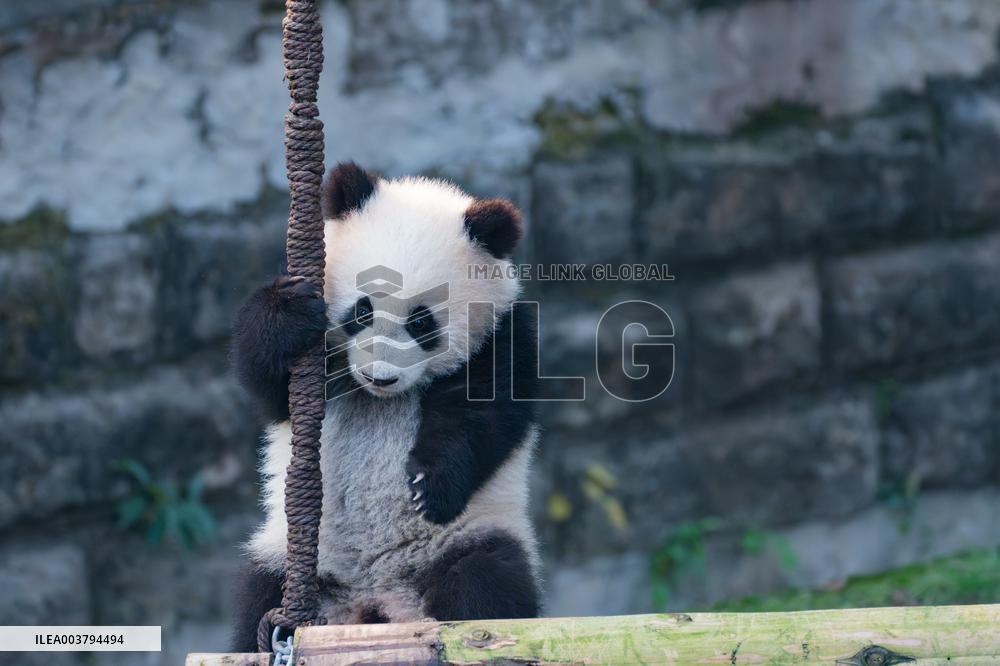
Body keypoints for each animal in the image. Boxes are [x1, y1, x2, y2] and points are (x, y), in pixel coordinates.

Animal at [230, 162, 540, 651]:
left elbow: (483, 415)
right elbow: (268, 389)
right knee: (256, 599)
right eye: (362, 310)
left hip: (471, 535)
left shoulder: (504, 334)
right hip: (286, 555)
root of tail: (374, 602)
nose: (380, 377)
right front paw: (288, 312)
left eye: (421, 322)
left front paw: (429, 485)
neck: (381, 400)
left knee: (486, 583)